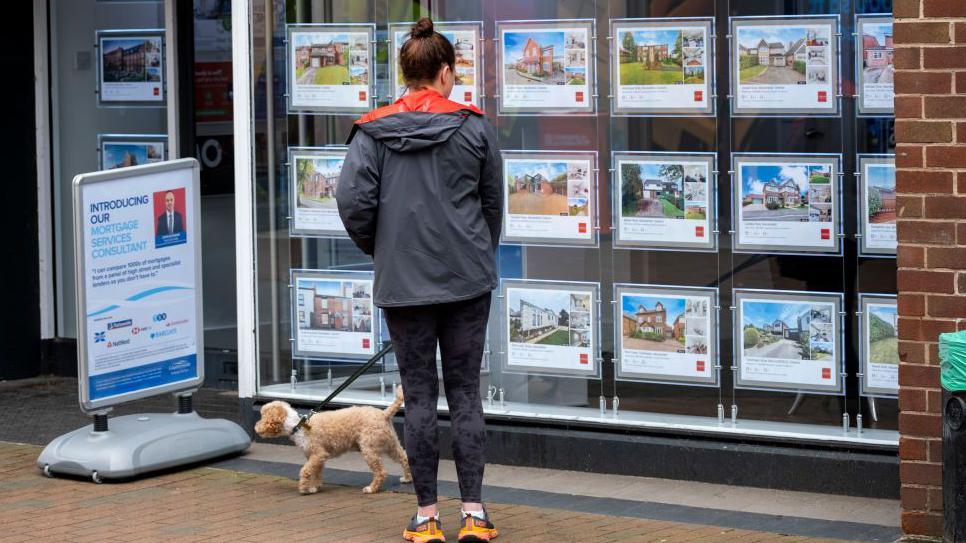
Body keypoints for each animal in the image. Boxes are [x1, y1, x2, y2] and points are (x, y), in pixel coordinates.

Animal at [255, 384, 410, 496]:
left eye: (263, 416)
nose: (255, 427)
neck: (297, 425)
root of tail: (384, 414)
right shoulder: (317, 458)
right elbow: (316, 473)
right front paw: (314, 487)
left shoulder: (318, 454)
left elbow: (305, 471)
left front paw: (304, 489)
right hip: (391, 443)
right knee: (404, 458)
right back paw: (408, 478)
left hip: (369, 449)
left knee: (381, 472)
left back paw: (371, 489)